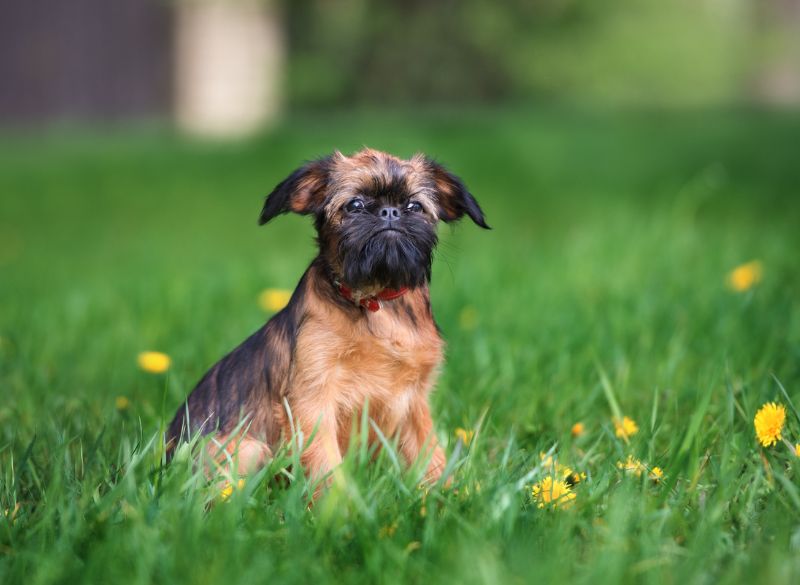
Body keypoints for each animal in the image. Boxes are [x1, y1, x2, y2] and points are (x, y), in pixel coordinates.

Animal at [169, 148, 488, 490]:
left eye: (415, 206)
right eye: (355, 205)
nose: (390, 212)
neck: (376, 302)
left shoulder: (414, 404)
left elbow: (432, 457)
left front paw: (451, 495)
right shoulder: (313, 401)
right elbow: (325, 466)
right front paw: (340, 504)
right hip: (249, 448)